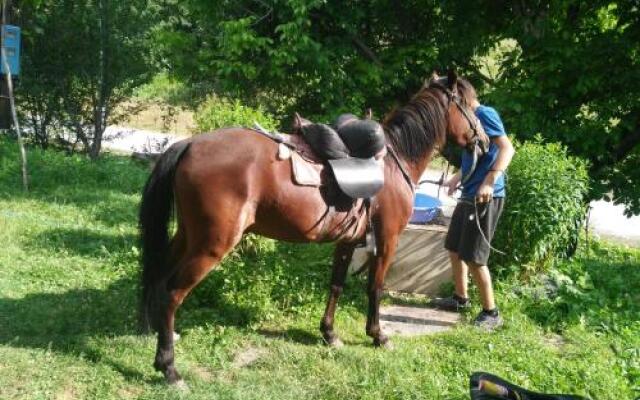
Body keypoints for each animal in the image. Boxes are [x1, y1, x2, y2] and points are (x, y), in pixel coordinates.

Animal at [139, 71, 480, 384]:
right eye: (472, 105)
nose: (483, 140)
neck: (394, 164)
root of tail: (189, 144)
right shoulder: (387, 240)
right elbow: (375, 287)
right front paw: (377, 335)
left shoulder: (348, 240)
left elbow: (336, 284)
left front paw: (329, 333)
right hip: (212, 245)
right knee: (172, 294)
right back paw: (169, 368)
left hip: (187, 236)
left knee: (158, 277)